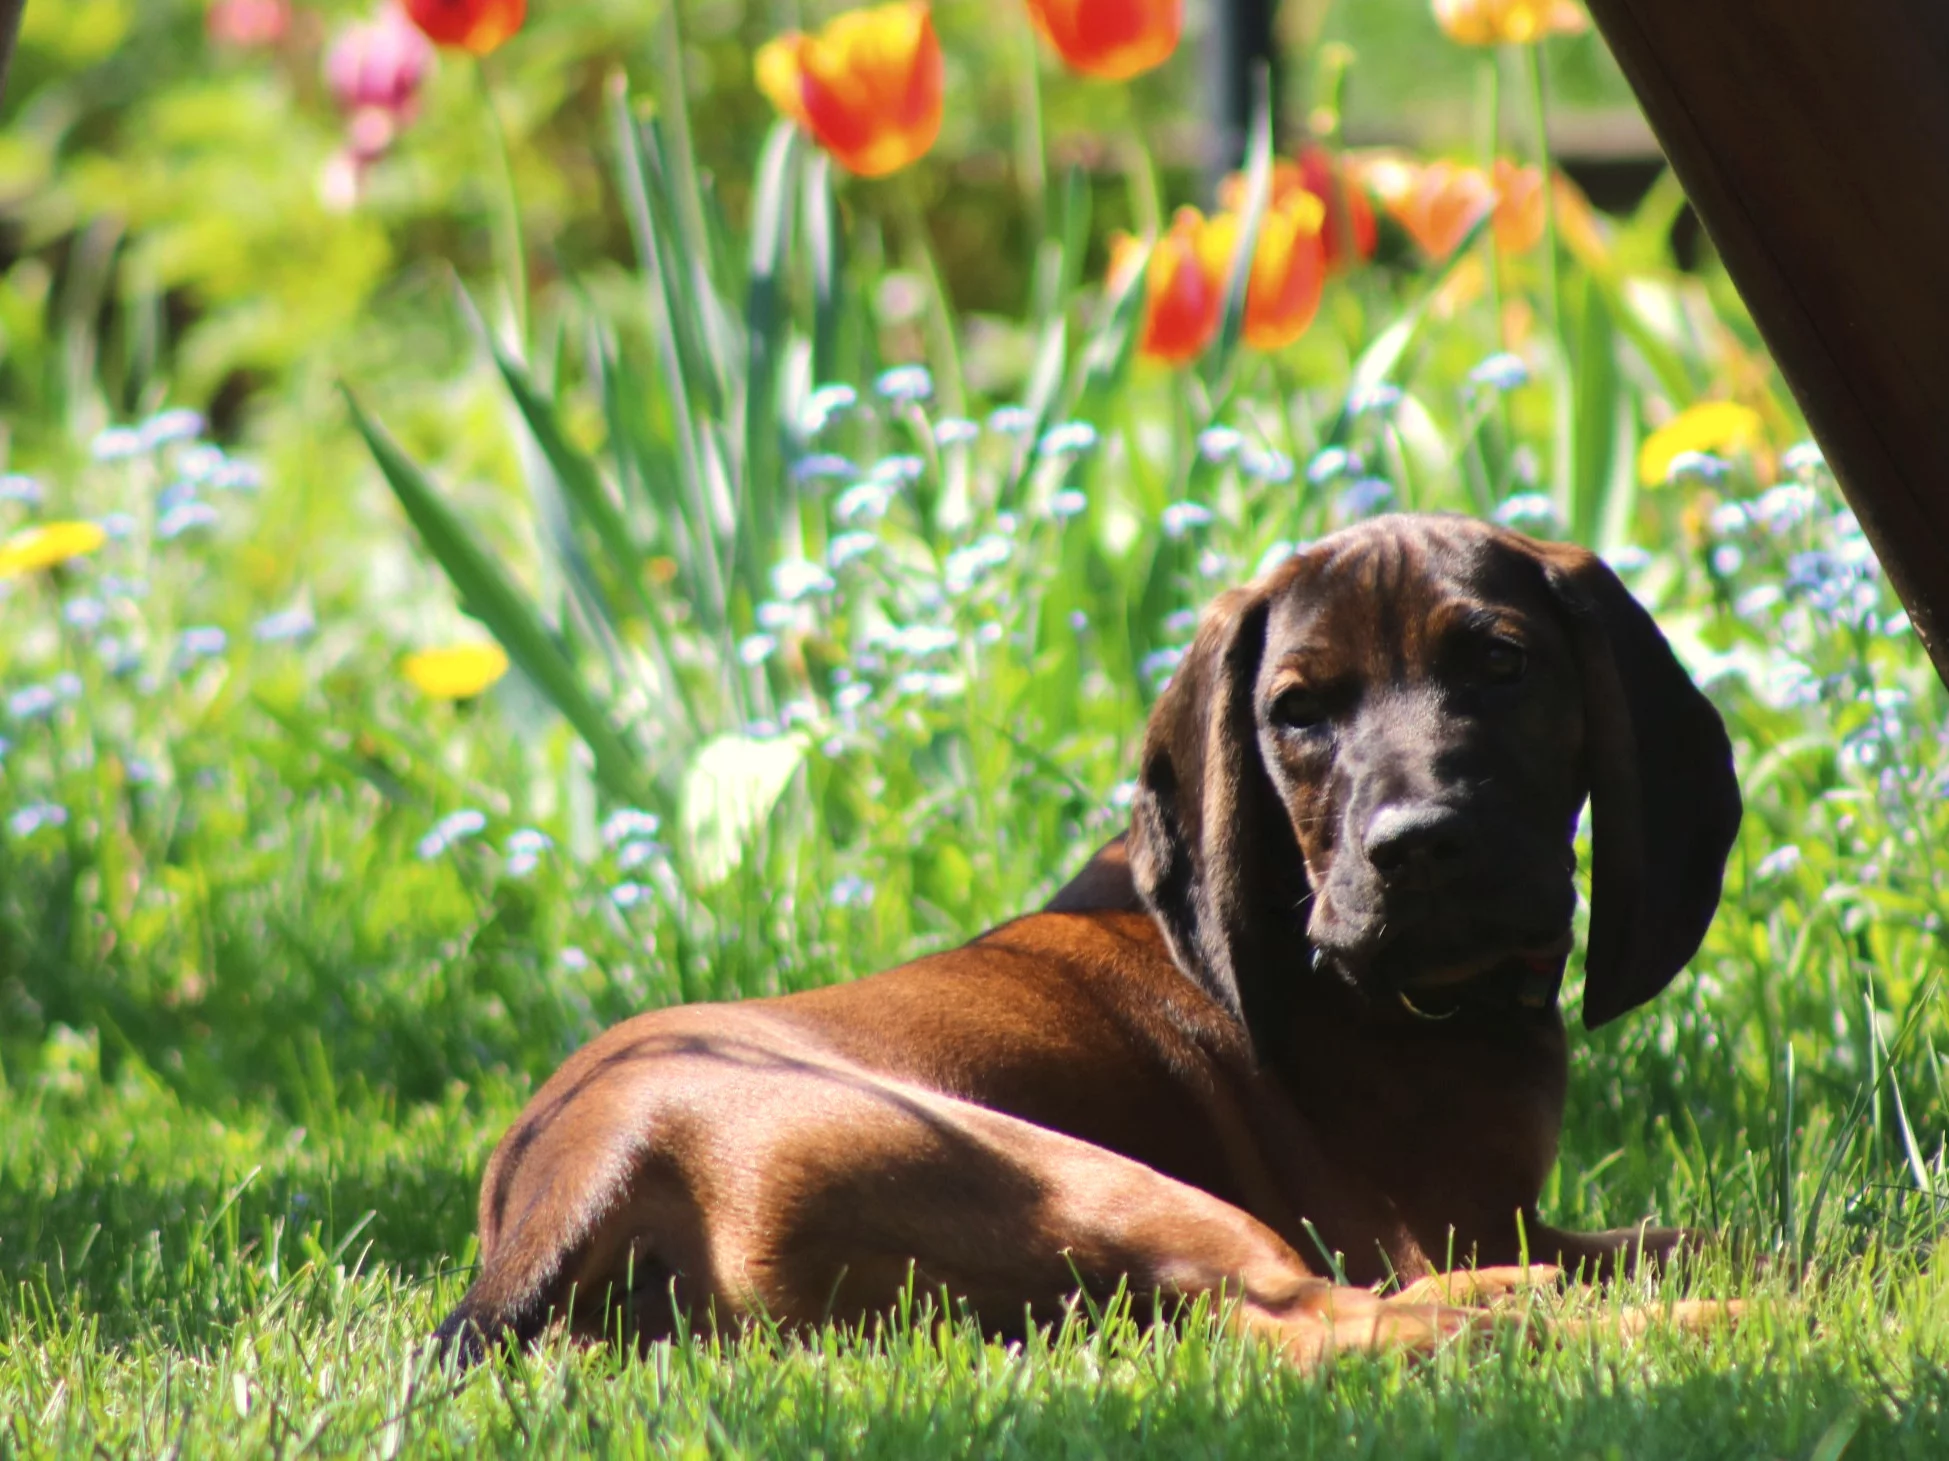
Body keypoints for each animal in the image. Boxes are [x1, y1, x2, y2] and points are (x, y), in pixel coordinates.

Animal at [434, 518, 1746, 1371]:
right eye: (1296, 712)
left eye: (1501, 662)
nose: (1414, 847)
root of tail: (580, 1169)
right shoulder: (1455, 1214)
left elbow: (1698, 1225)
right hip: (1090, 1177)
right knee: (1328, 1321)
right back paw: (1671, 1326)